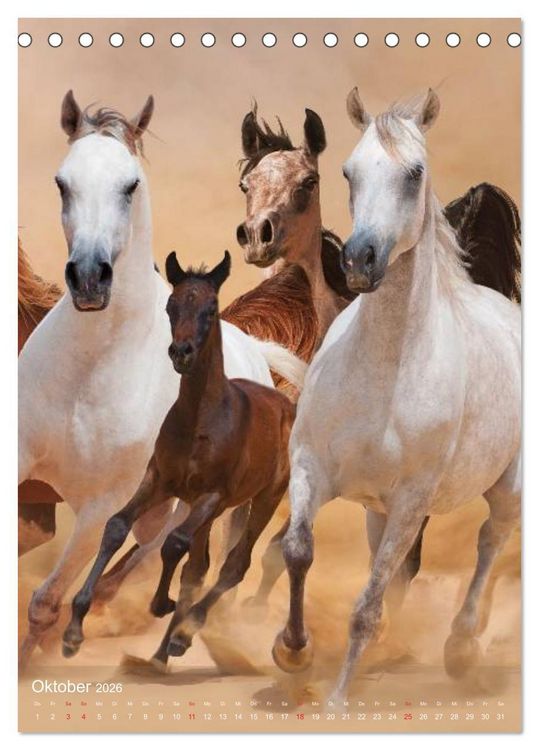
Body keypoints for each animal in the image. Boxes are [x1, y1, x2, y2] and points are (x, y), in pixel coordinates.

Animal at [62, 251, 300, 665]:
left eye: (211, 308)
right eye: (171, 306)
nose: (181, 353)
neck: (199, 420)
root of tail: (287, 405)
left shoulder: (211, 495)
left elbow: (173, 543)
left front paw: (161, 604)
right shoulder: (159, 480)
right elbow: (117, 527)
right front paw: (74, 630)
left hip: (263, 499)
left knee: (234, 564)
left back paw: (184, 633)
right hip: (212, 511)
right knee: (199, 566)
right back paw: (163, 651)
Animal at [272, 89, 520, 702]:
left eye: (415, 173)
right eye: (347, 171)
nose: (358, 260)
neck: (382, 375)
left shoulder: (412, 500)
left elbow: (367, 602)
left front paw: (337, 699)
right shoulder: (311, 467)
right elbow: (299, 550)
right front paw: (292, 650)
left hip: (507, 488)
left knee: (490, 542)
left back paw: (461, 647)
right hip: (375, 510)